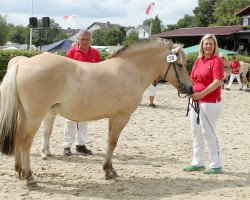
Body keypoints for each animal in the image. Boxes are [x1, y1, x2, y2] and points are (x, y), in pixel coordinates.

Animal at [0, 38, 192, 188]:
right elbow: (113, 142)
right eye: (180, 64)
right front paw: (107, 171)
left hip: (24, 115)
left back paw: (19, 171)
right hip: (35, 116)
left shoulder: (113, 117)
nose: (190, 88)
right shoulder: (122, 117)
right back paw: (29, 177)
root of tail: (22, 63)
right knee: (25, 142)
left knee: (18, 137)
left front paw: (111, 169)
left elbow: (110, 142)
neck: (131, 69)